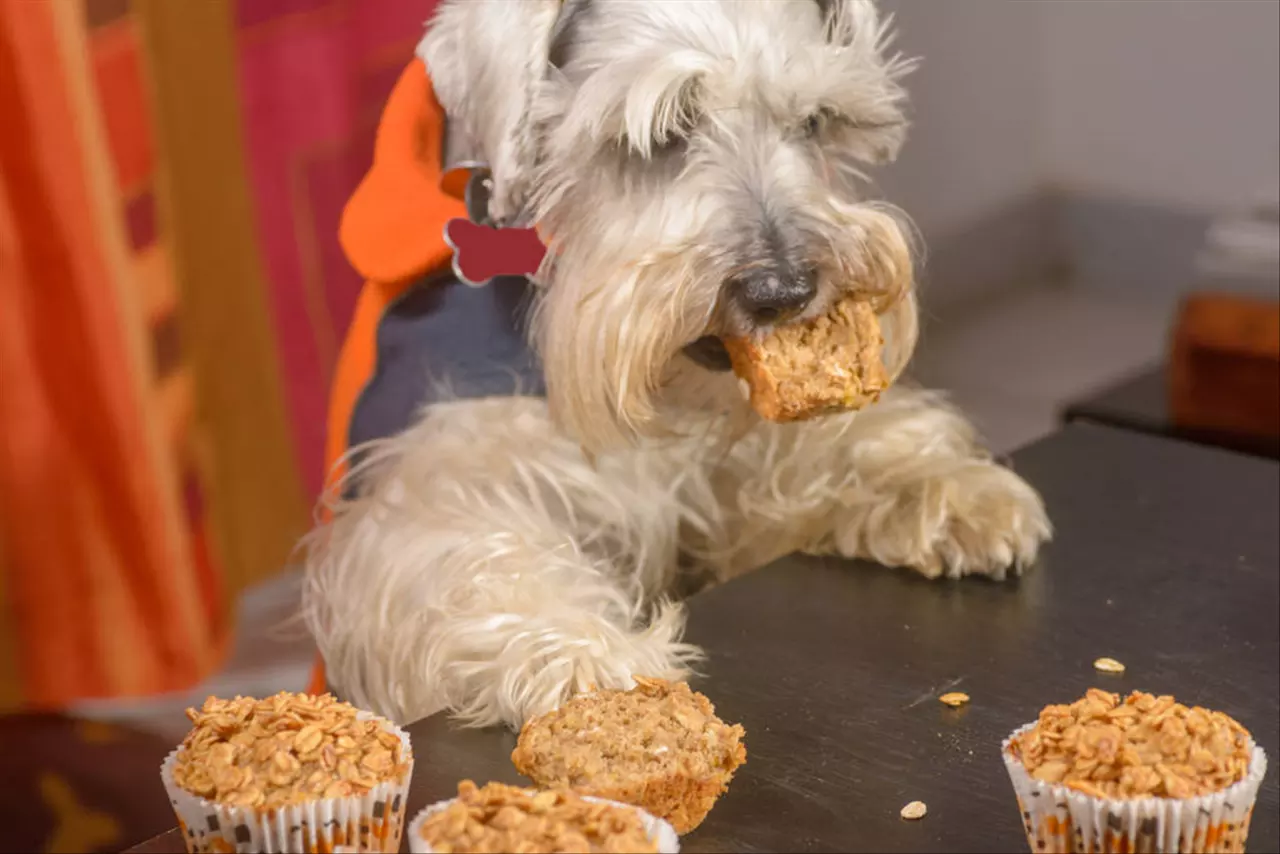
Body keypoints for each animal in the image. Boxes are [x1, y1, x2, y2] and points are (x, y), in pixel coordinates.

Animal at [299, 0, 1049, 737]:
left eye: (814, 121)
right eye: (661, 134)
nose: (784, 291)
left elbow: (834, 455)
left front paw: (949, 490)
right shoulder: (429, 489)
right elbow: (476, 562)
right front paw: (581, 652)